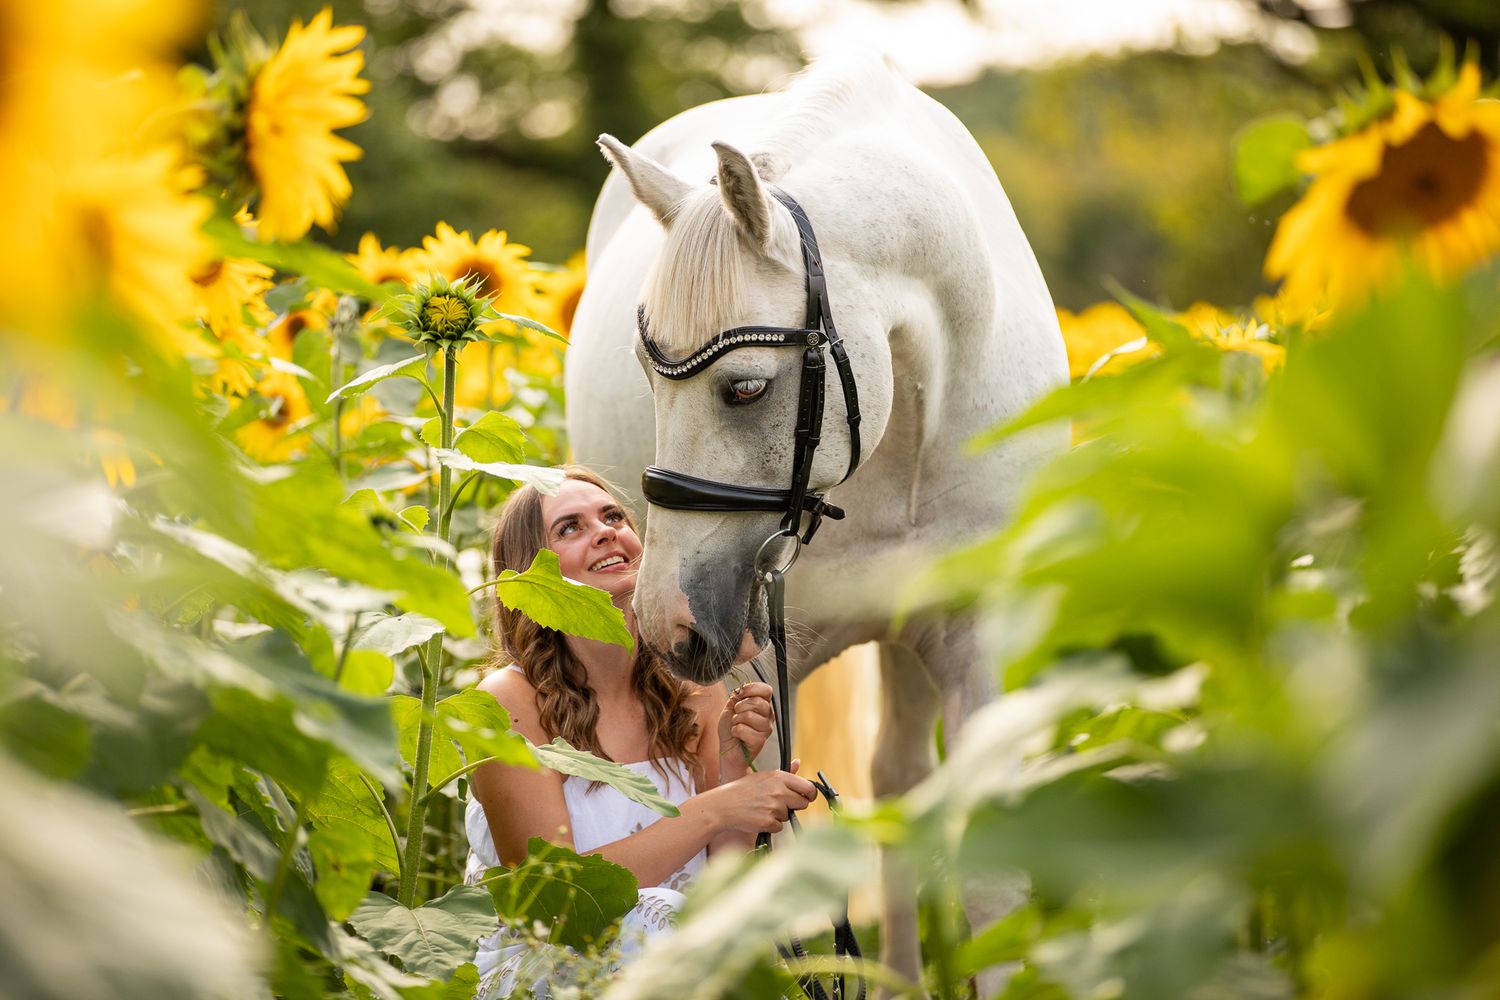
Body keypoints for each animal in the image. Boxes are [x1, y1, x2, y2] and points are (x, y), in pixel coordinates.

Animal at [565, 53, 1069, 989]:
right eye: (647, 379)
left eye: (745, 388)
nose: (665, 622)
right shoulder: (762, 682)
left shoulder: (979, 644)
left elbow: (993, 887)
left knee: (898, 783)